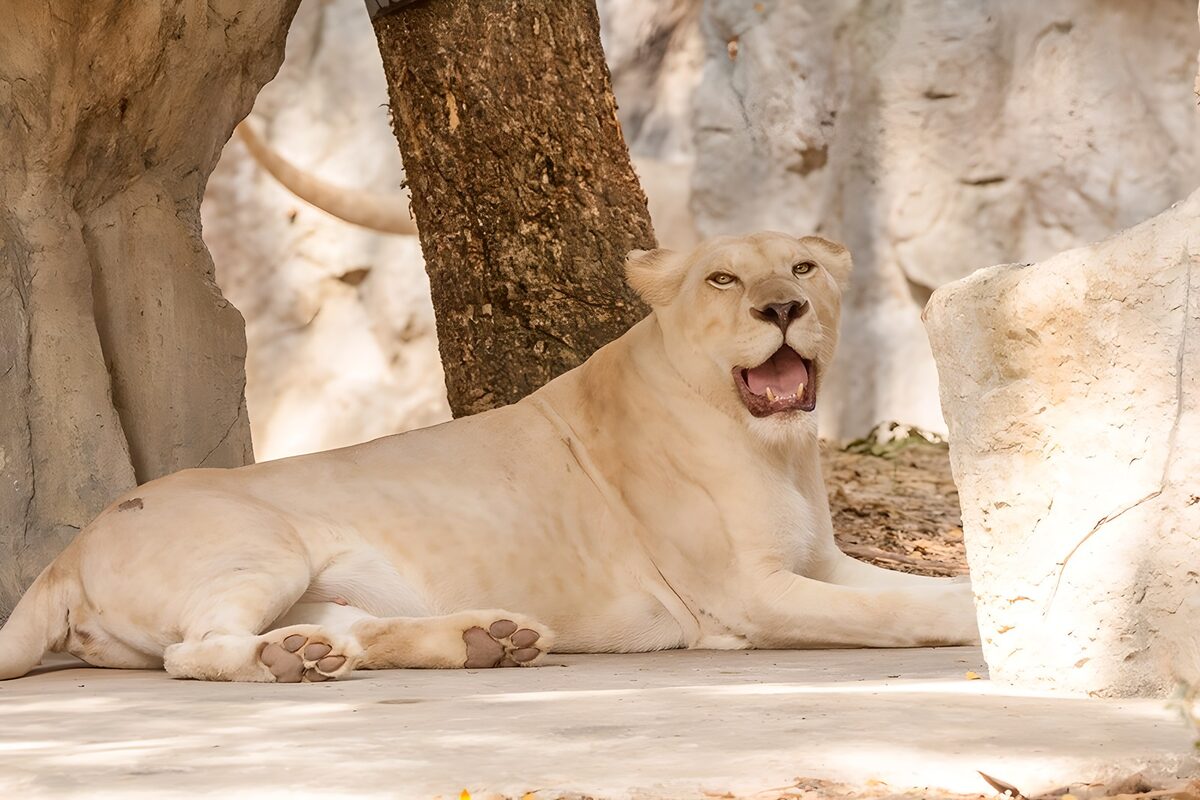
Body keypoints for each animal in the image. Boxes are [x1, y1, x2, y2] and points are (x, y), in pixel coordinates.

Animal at [0, 232, 978, 683]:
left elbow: (914, 589)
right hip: (260, 548)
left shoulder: (823, 564)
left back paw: (480, 640)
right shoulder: (746, 595)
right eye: (724, 279)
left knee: (352, 631)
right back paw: (293, 662)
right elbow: (904, 614)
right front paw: (981, 619)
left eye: (804, 269)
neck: (774, 448)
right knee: (193, 652)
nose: (782, 309)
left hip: (319, 585)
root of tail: (64, 557)